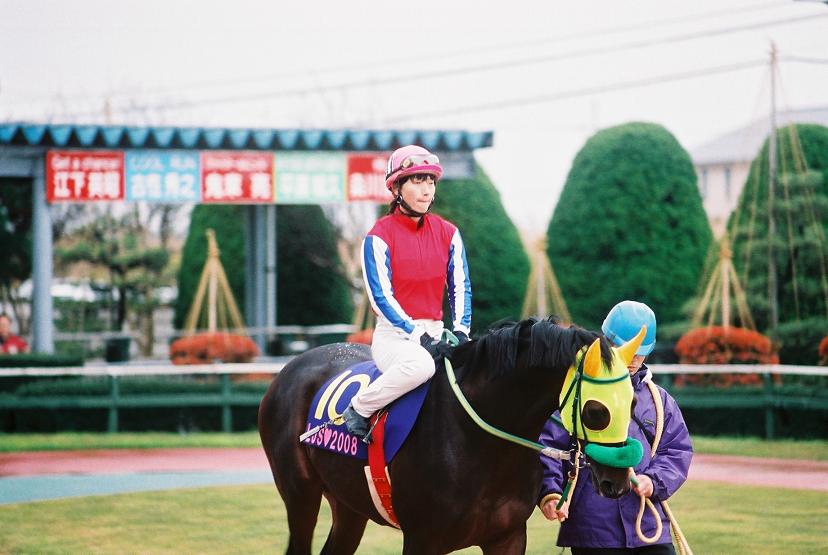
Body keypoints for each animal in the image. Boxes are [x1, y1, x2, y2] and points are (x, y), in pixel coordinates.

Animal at [258, 318, 638, 554]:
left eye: (633, 401)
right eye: (596, 411)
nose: (617, 482)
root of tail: (290, 368)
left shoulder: (508, 537)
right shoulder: (422, 539)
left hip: (350, 505)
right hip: (300, 495)